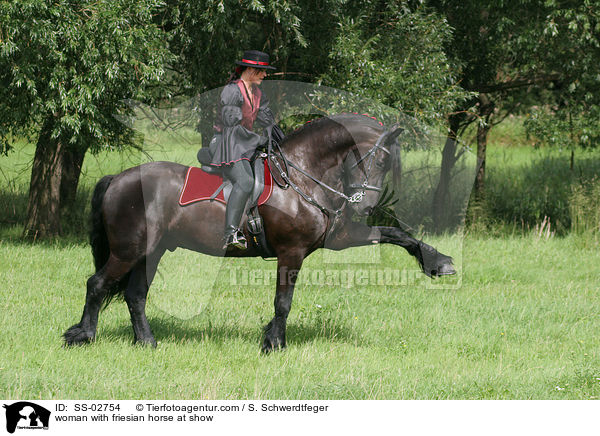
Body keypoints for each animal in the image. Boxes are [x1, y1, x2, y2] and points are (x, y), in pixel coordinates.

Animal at [63, 114, 452, 352]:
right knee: (97, 285)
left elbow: (395, 233)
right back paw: (81, 335)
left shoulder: (338, 239)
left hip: (152, 252)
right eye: (380, 159)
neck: (299, 177)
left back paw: (147, 342)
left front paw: (437, 262)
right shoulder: (291, 252)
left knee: (135, 294)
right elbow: (283, 301)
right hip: (130, 249)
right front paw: (274, 343)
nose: (364, 205)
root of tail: (119, 177)